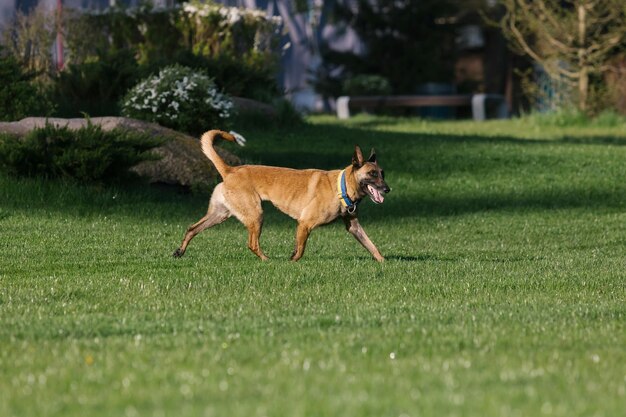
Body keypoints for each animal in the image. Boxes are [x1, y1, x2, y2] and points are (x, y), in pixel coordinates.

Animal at [171, 128, 386, 262]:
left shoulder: (354, 227)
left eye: (382, 173)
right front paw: (291, 262)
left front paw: (384, 262)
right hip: (256, 215)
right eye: (371, 174)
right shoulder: (305, 224)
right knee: (252, 244)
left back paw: (179, 252)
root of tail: (230, 170)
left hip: (220, 214)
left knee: (192, 229)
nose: (387, 189)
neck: (341, 186)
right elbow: (300, 250)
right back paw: (268, 260)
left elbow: (372, 245)